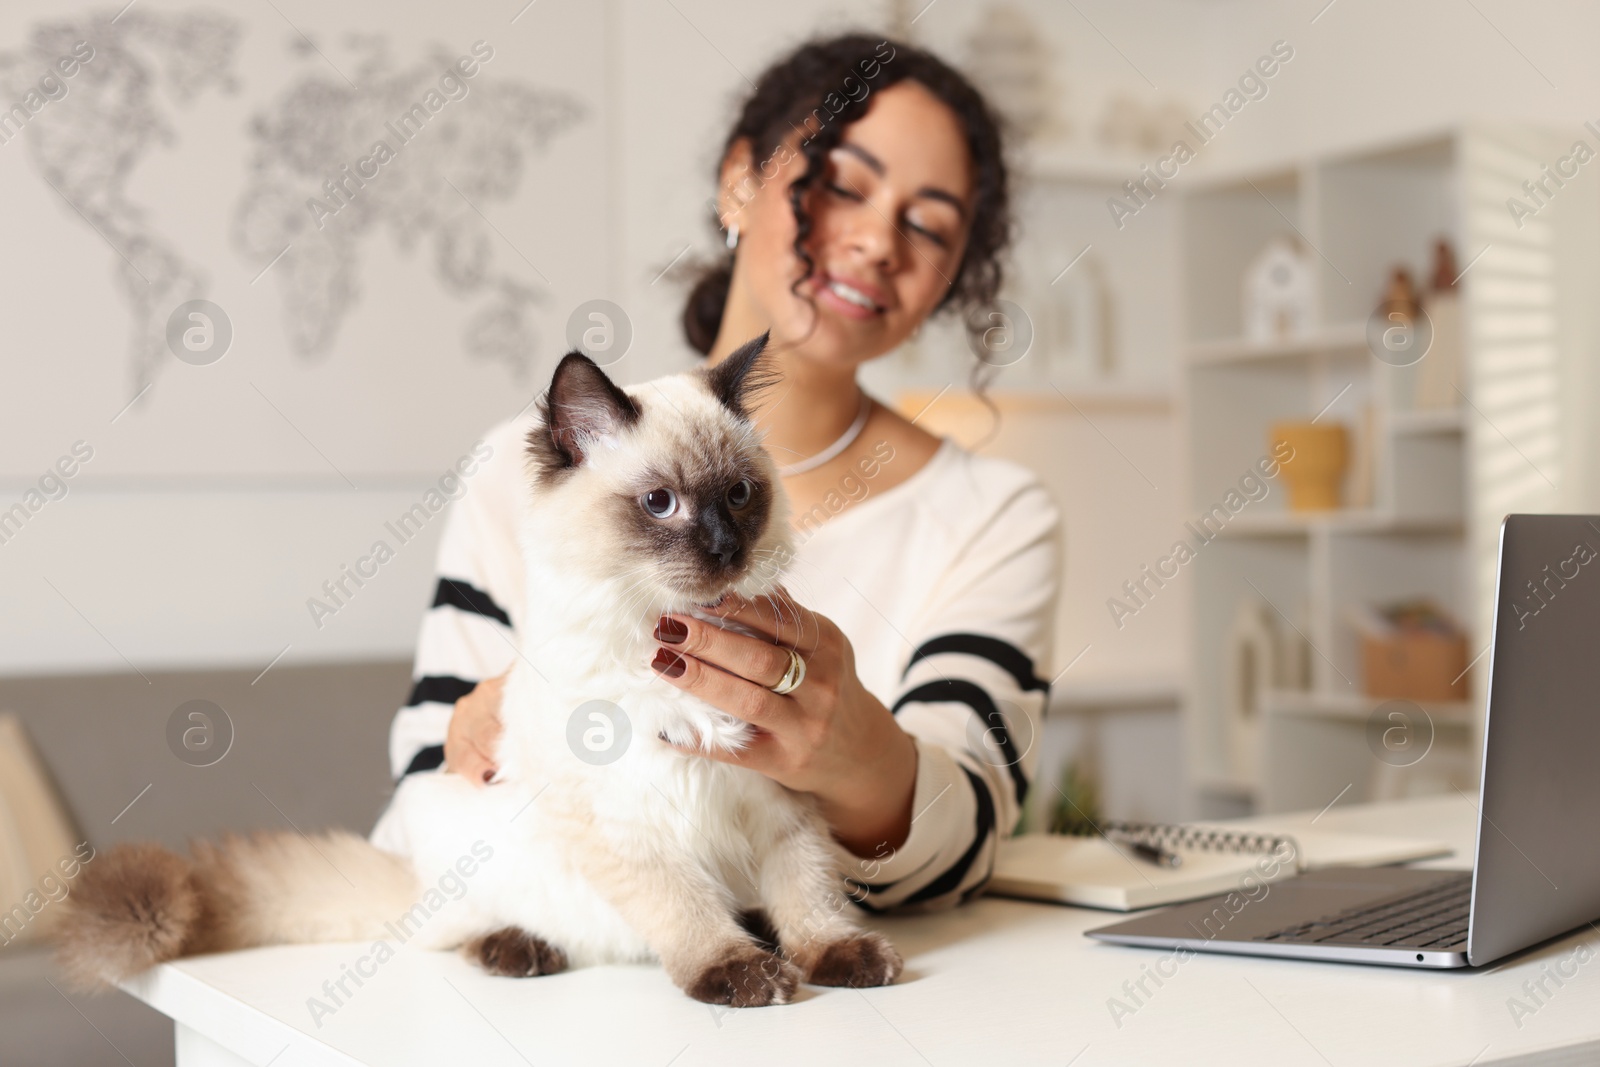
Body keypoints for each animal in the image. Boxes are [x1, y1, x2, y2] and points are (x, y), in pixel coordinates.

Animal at [56, 335, 902, 1011]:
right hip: (460, 820)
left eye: (739, 494)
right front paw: (741, 975)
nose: (727, 548)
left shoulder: (784, 795)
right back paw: (520, 949)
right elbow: (686, 909)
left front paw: (834, 957)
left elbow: (810, 894)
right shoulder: (622, 821)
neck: (660, 640)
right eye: (660, 503)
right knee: (452, 931)